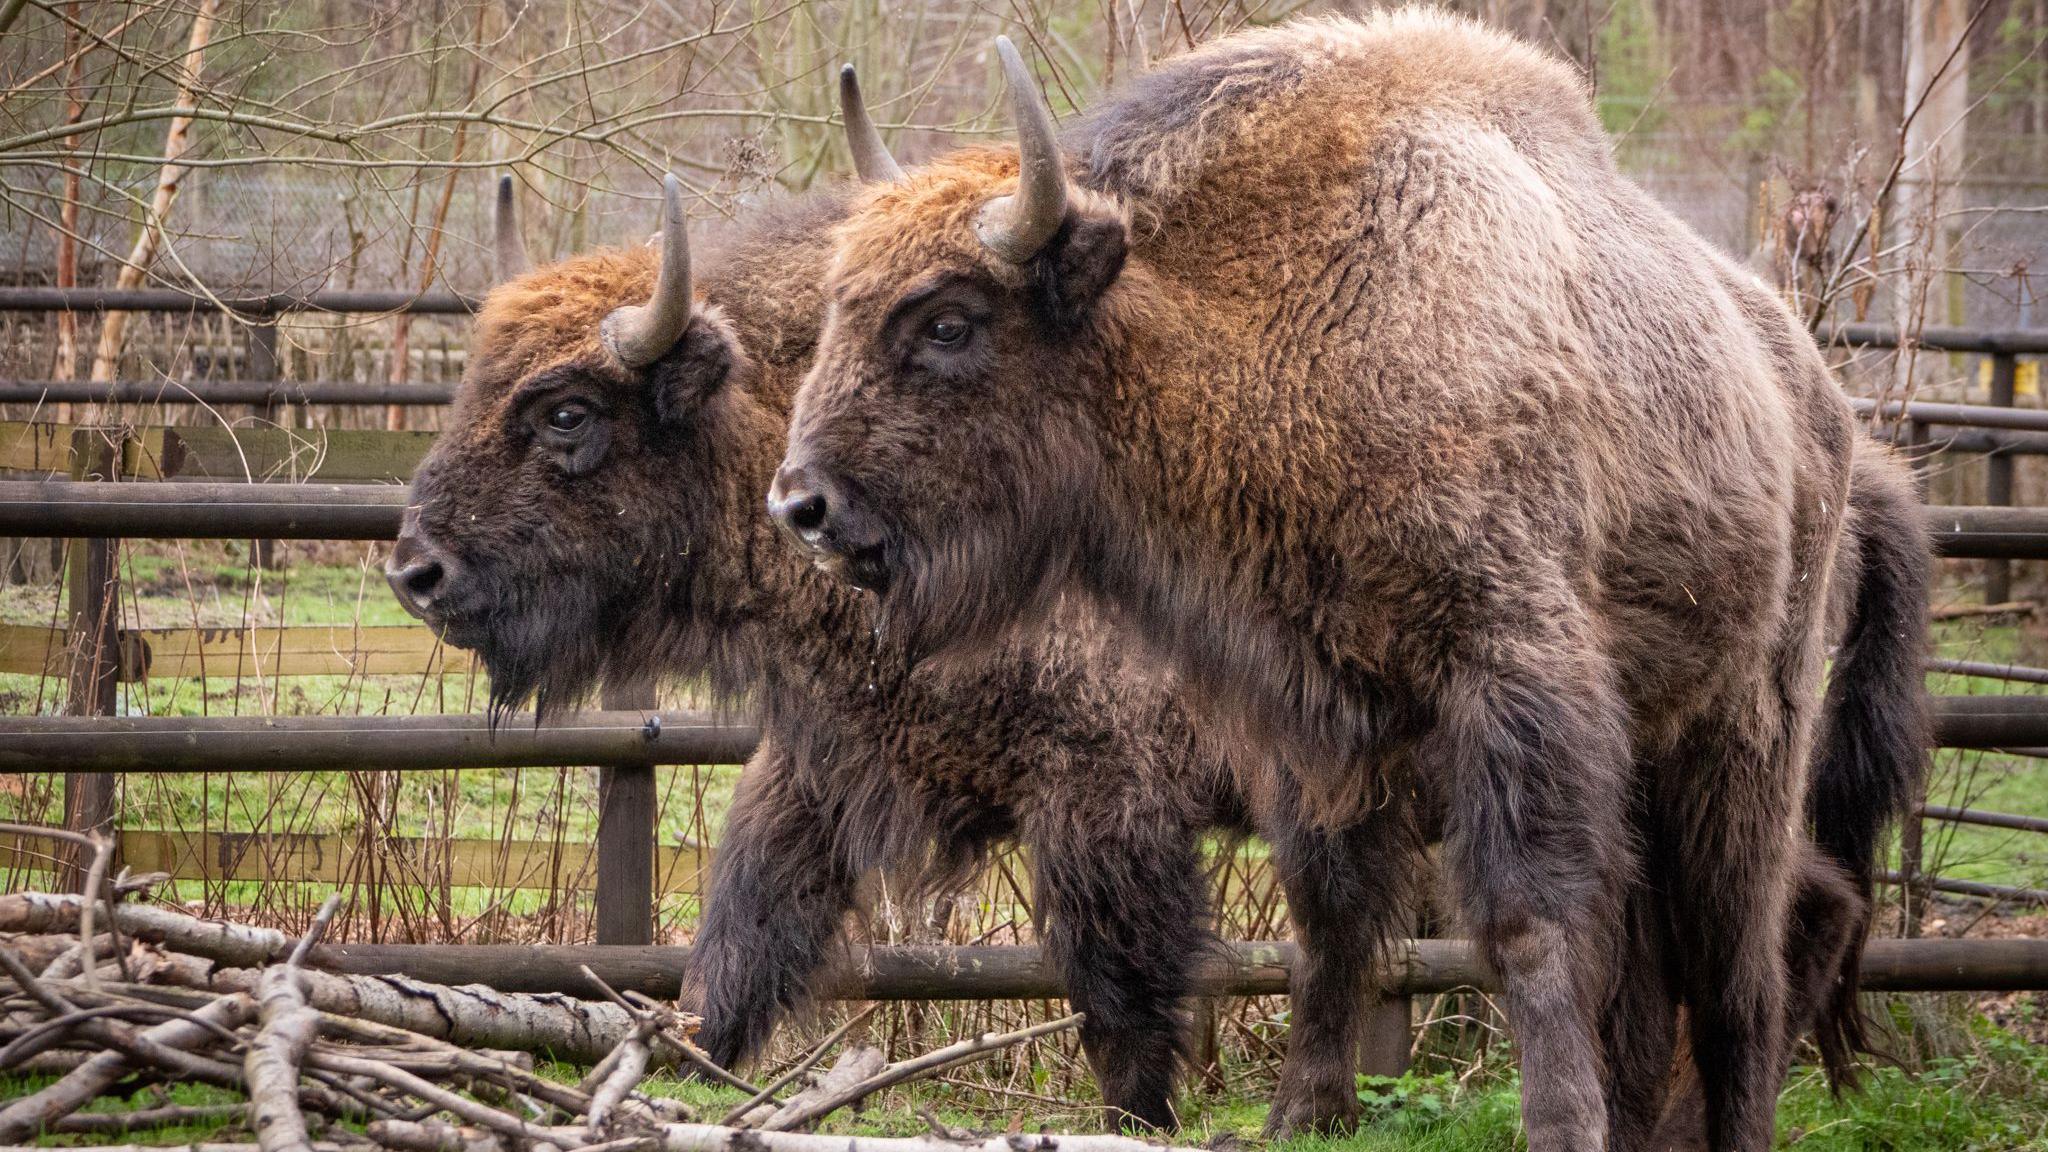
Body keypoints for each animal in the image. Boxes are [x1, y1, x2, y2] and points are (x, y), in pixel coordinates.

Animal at [774, 11, 1925, 1147]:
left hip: (1744, 729)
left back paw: (1732, 1121)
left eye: (948, 320)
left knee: (1741, 954)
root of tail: (1827, 411)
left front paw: (1557, 1124)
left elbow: (1526, 920)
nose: (802, 506)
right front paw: (1302, 1114)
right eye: (838, 304)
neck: (1282, 308)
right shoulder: (1311, 713)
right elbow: (1326, 916)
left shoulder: (1511, 675)